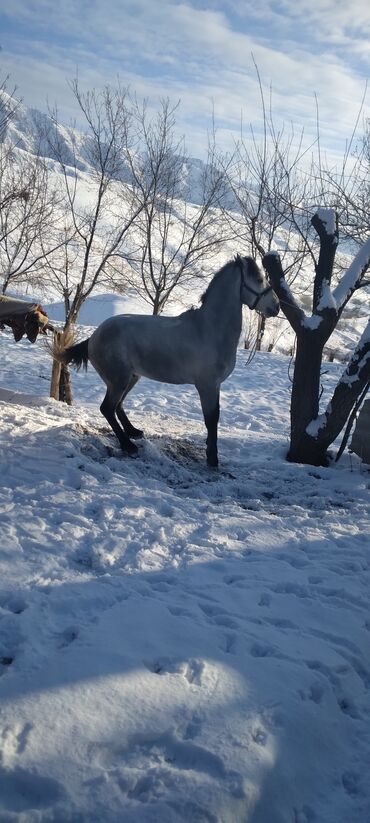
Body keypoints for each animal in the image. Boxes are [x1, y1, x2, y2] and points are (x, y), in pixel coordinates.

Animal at [57, 254, 278, 466]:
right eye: (259, 279)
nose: (275, 307)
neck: (209, 329)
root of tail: (94, 336)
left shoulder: (215, 386)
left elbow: (214, 417)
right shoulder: (207, 385)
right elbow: (211, 419)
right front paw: (212, 458)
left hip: (130, 378)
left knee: (117, 405)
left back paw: (133, 432)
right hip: (119, 380)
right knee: (107, 408)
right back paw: (128, 446)